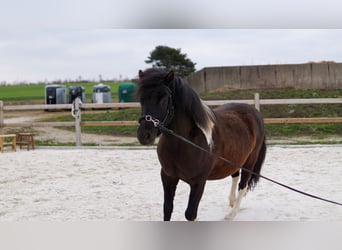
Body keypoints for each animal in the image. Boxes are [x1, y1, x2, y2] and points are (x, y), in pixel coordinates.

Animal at [136, 68, 268, 221]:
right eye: (141, 99)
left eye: (163, 98)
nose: (144, 135)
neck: (183, 143)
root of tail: (255, 113)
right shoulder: (168, 177)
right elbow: (167, 209)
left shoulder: (198, 182)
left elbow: (190, 214)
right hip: (235, 158)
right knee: (235, 176)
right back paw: (231, 201)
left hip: (250, 161)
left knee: (243, 185)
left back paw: (232, 213)